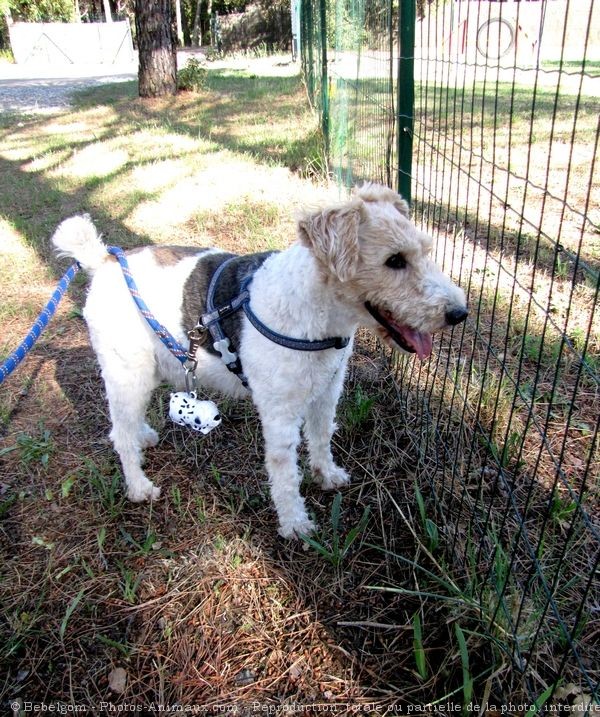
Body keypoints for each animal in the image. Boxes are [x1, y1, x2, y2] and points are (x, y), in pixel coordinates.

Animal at [51, 185, 468, 536]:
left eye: (425, 251)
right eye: (394, 260)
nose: (459, 314)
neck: (316, 316)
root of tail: (102, 260)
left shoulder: (327, 391)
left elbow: (321, 438)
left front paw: (328, 475)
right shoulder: (280, 413)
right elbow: (285, 474)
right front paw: (296, 524)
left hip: (146, 369)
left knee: (127, 423)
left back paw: (144, 437)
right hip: (127, 372)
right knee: (118, 434)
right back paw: (139, 486)